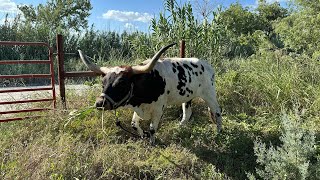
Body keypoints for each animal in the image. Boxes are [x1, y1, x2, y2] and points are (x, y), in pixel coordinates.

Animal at [79, 43, 221, 143]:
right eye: (103, 83)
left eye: (121, 83)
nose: (99, 103)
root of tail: (207, 65)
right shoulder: (139, 107)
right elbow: (134, 124)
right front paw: (142, 136)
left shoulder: (158, 108)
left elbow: (152, 128)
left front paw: (152, 142)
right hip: (187, 97)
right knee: (187, 114)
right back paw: (179, 128)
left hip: (210, 94)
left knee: (217, 111)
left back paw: (219, 133)